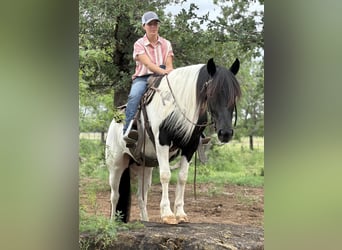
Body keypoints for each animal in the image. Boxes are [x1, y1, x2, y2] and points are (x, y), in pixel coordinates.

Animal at [105, 58, 242, 225]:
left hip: (145, 167)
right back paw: (112, 222)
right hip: (116, 165)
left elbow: (182, 177)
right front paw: (167, 214)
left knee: (141, 198)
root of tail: (114, 123)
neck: (175, 106)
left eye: (235, 95)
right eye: (212, 93)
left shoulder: (190, 146)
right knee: (115, 196)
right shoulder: (162, 142)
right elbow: (165, 175)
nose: (226, 133)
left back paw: (146, 220)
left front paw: (181, 213)